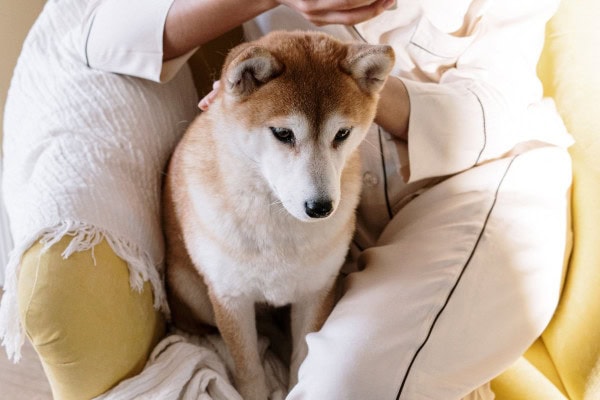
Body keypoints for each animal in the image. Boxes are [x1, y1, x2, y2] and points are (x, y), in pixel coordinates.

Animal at [163, 31, 394, 400]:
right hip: (191, 290)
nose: (320, 207)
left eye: (342, 134)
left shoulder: (316, 292)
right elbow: (248, 368)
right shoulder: (230, 299)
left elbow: (303, 358)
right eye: (283, 134)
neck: (277, 225)